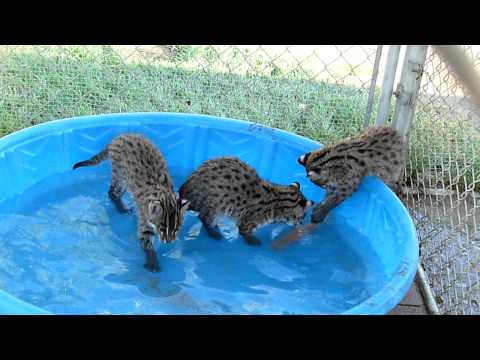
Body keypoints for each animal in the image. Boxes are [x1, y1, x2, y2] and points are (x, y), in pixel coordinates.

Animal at [72, 134, 188, 272]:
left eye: (176, 228)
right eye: (162, 228)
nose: (169, 242)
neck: (165, 196)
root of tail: (121, 136)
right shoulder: (145, 219)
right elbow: (146, 241)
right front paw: (152, 260)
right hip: (121, 174)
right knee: (112, 192)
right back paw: (121, 207)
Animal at [178, 156, 314, 246]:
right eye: (303, 217)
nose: (301, 224)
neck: (278, 198)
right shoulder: (250, 219)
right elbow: (243, 230)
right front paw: (251, 239)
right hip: (215, 203)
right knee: (203, 217)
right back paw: (212, 230)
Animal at [272, 126, 404, 250]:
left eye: (319, 183)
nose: (325, 188)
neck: (329, 157)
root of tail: (396, 132)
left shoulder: (350, 183)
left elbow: (336, 197)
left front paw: (321, 210)